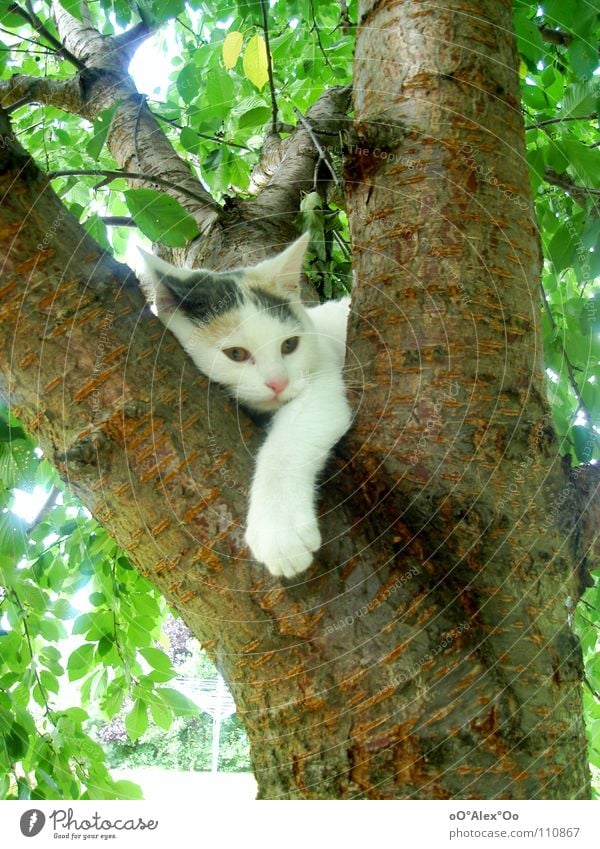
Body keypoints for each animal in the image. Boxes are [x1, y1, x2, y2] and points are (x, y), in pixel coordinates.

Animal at [139, 232, 352, 576]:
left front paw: (279, 530)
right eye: (236, 354)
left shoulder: (323, 376)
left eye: (290, 345)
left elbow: (288, 444)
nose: (278, 383)